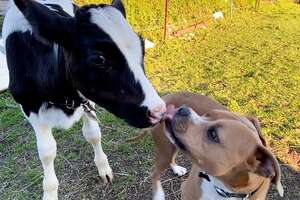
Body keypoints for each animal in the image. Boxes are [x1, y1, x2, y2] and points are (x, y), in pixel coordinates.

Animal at [2, 0, 166, 198]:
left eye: (140, 47)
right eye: (99, 59)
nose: (159, 112)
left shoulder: (86, 99)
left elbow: (93, 134)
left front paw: (103, 167)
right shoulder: (30, 108)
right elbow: (47, 152)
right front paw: (50, 193)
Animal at [136, 92, 284, 200]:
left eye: (213, 134)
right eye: (208, 114)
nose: (183, 109)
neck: (225, 190)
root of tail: (165, 97)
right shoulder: (186, 192)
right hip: (165, 148)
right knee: (155, 172)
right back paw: (159, 195)